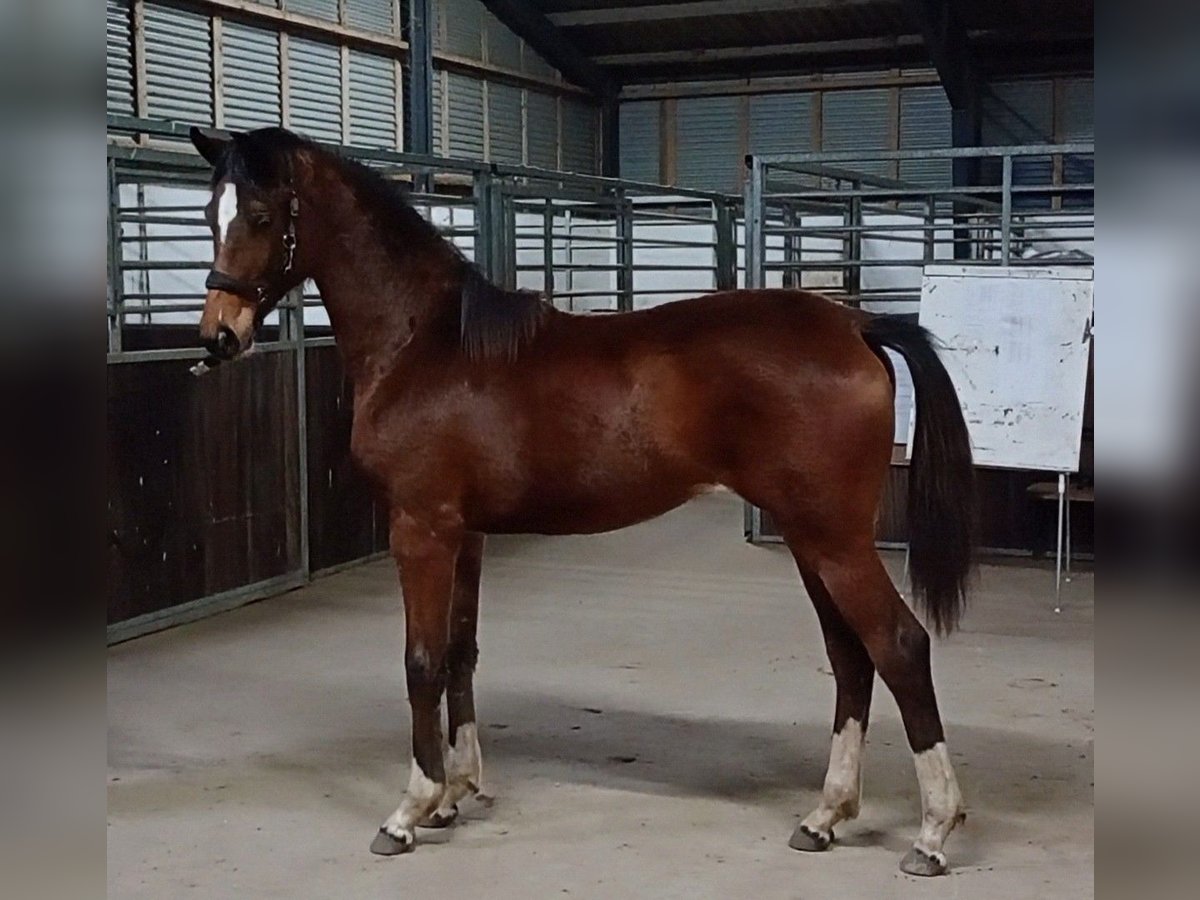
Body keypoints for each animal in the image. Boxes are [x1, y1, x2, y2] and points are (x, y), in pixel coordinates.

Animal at [184, 128, 974, 883]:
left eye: (261, 215)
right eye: (208, 213)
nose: (219, 335)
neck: (425, 344)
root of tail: (854, 326)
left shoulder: (422, 527)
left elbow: (421, 661)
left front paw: (411, 809)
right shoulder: (467, 532)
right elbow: (461, 651)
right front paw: (456, 793)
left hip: (834, 541)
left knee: (898, 647)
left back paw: (933, 834)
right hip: (812, 540)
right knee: (851, 658)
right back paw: (825, 816)